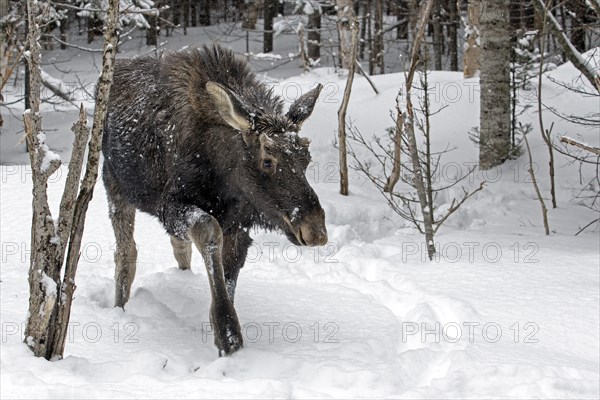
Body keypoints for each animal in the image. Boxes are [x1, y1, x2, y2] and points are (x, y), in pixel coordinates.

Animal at [103, 44, 328, 356]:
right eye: (267, 161)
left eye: (306, 159)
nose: (315, 229)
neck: (225, 180)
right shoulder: (171, 206)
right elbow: (208, 232)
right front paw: (226, 332)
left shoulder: (238, 225)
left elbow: (228, 269)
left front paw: (222, 333)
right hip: (113, 184)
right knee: (126, 252)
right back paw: (120, 309)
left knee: (179, 248)